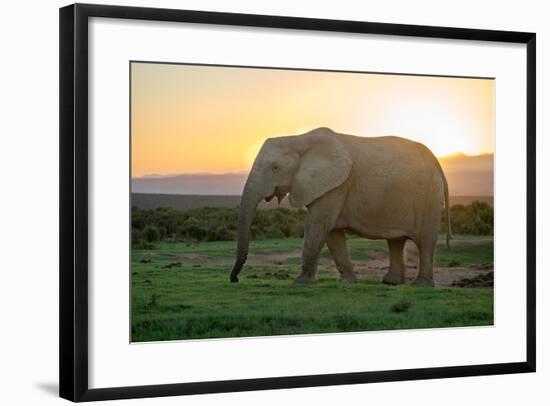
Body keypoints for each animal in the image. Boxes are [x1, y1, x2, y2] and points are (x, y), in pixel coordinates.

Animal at [231, 127, 450, 286]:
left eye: (275, 167)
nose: (235, 279)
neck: (299, 138)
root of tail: (436, 160)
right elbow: (332, 233)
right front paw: (347, 283)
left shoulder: (336, 186)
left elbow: (316, 226)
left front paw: (300, 283)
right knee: (396, 241)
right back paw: (391, 283)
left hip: (429, 196)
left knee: (425, 241)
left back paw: (420, 285)